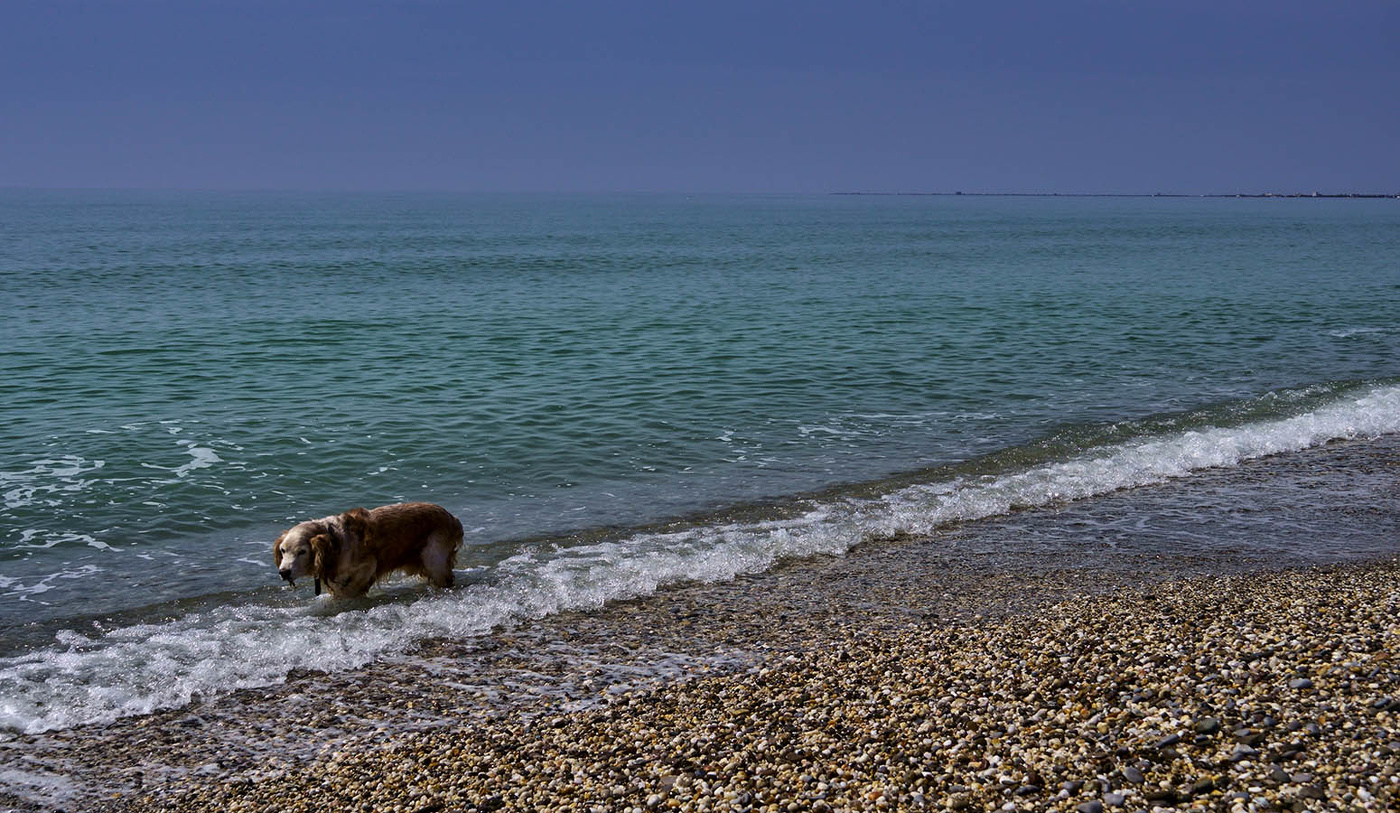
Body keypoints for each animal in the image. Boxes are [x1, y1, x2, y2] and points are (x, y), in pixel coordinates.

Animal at [275, 500, 462, 596]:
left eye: (302, 552)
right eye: (283, 551)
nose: (283, 572)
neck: (334, 542)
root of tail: (452, 517)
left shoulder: (368, 565)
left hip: (434, 558)